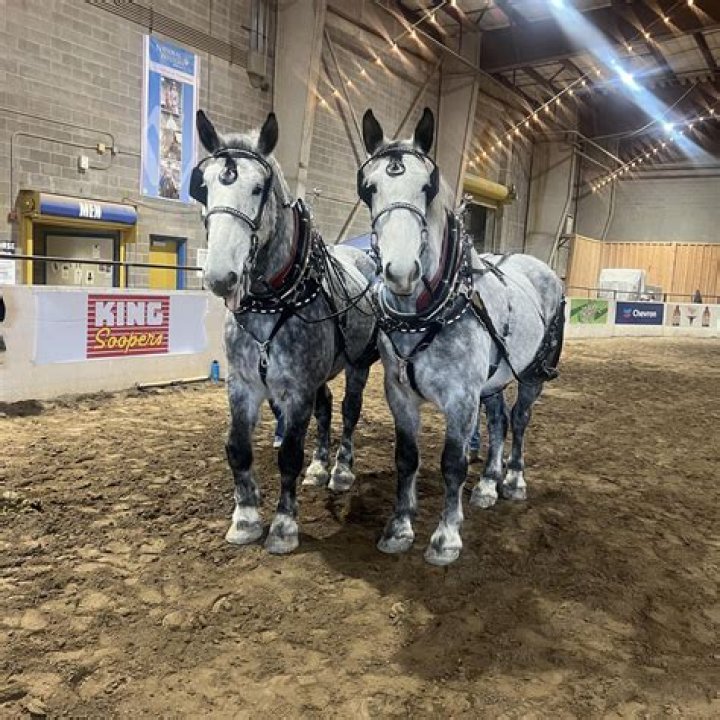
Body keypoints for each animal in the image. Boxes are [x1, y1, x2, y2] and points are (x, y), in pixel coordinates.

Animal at [192, 110, 377, 554]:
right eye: (204, 187)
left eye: (258, 188)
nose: (221, 276)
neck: (271, 301)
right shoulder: (243, 384)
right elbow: (238, 448)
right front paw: (245, 517)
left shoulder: (296, 388)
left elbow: (289, 454)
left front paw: (283, 525)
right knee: (326, 409)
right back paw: (319, 467)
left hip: (357, 365)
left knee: (348, 412)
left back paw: (340, 471)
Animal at [358, 106, 565, 565]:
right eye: (370, 188)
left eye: (427, 187)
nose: (401, 272)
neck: (424, 314)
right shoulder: (399, 394)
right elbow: (406, 458)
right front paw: (400, 527)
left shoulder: (462, 397)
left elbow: (452, 463)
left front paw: (446, 537)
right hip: (494, 382)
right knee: (500, 421)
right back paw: (488, 484)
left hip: (532, 375)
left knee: (519, 421)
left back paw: (513, 481)